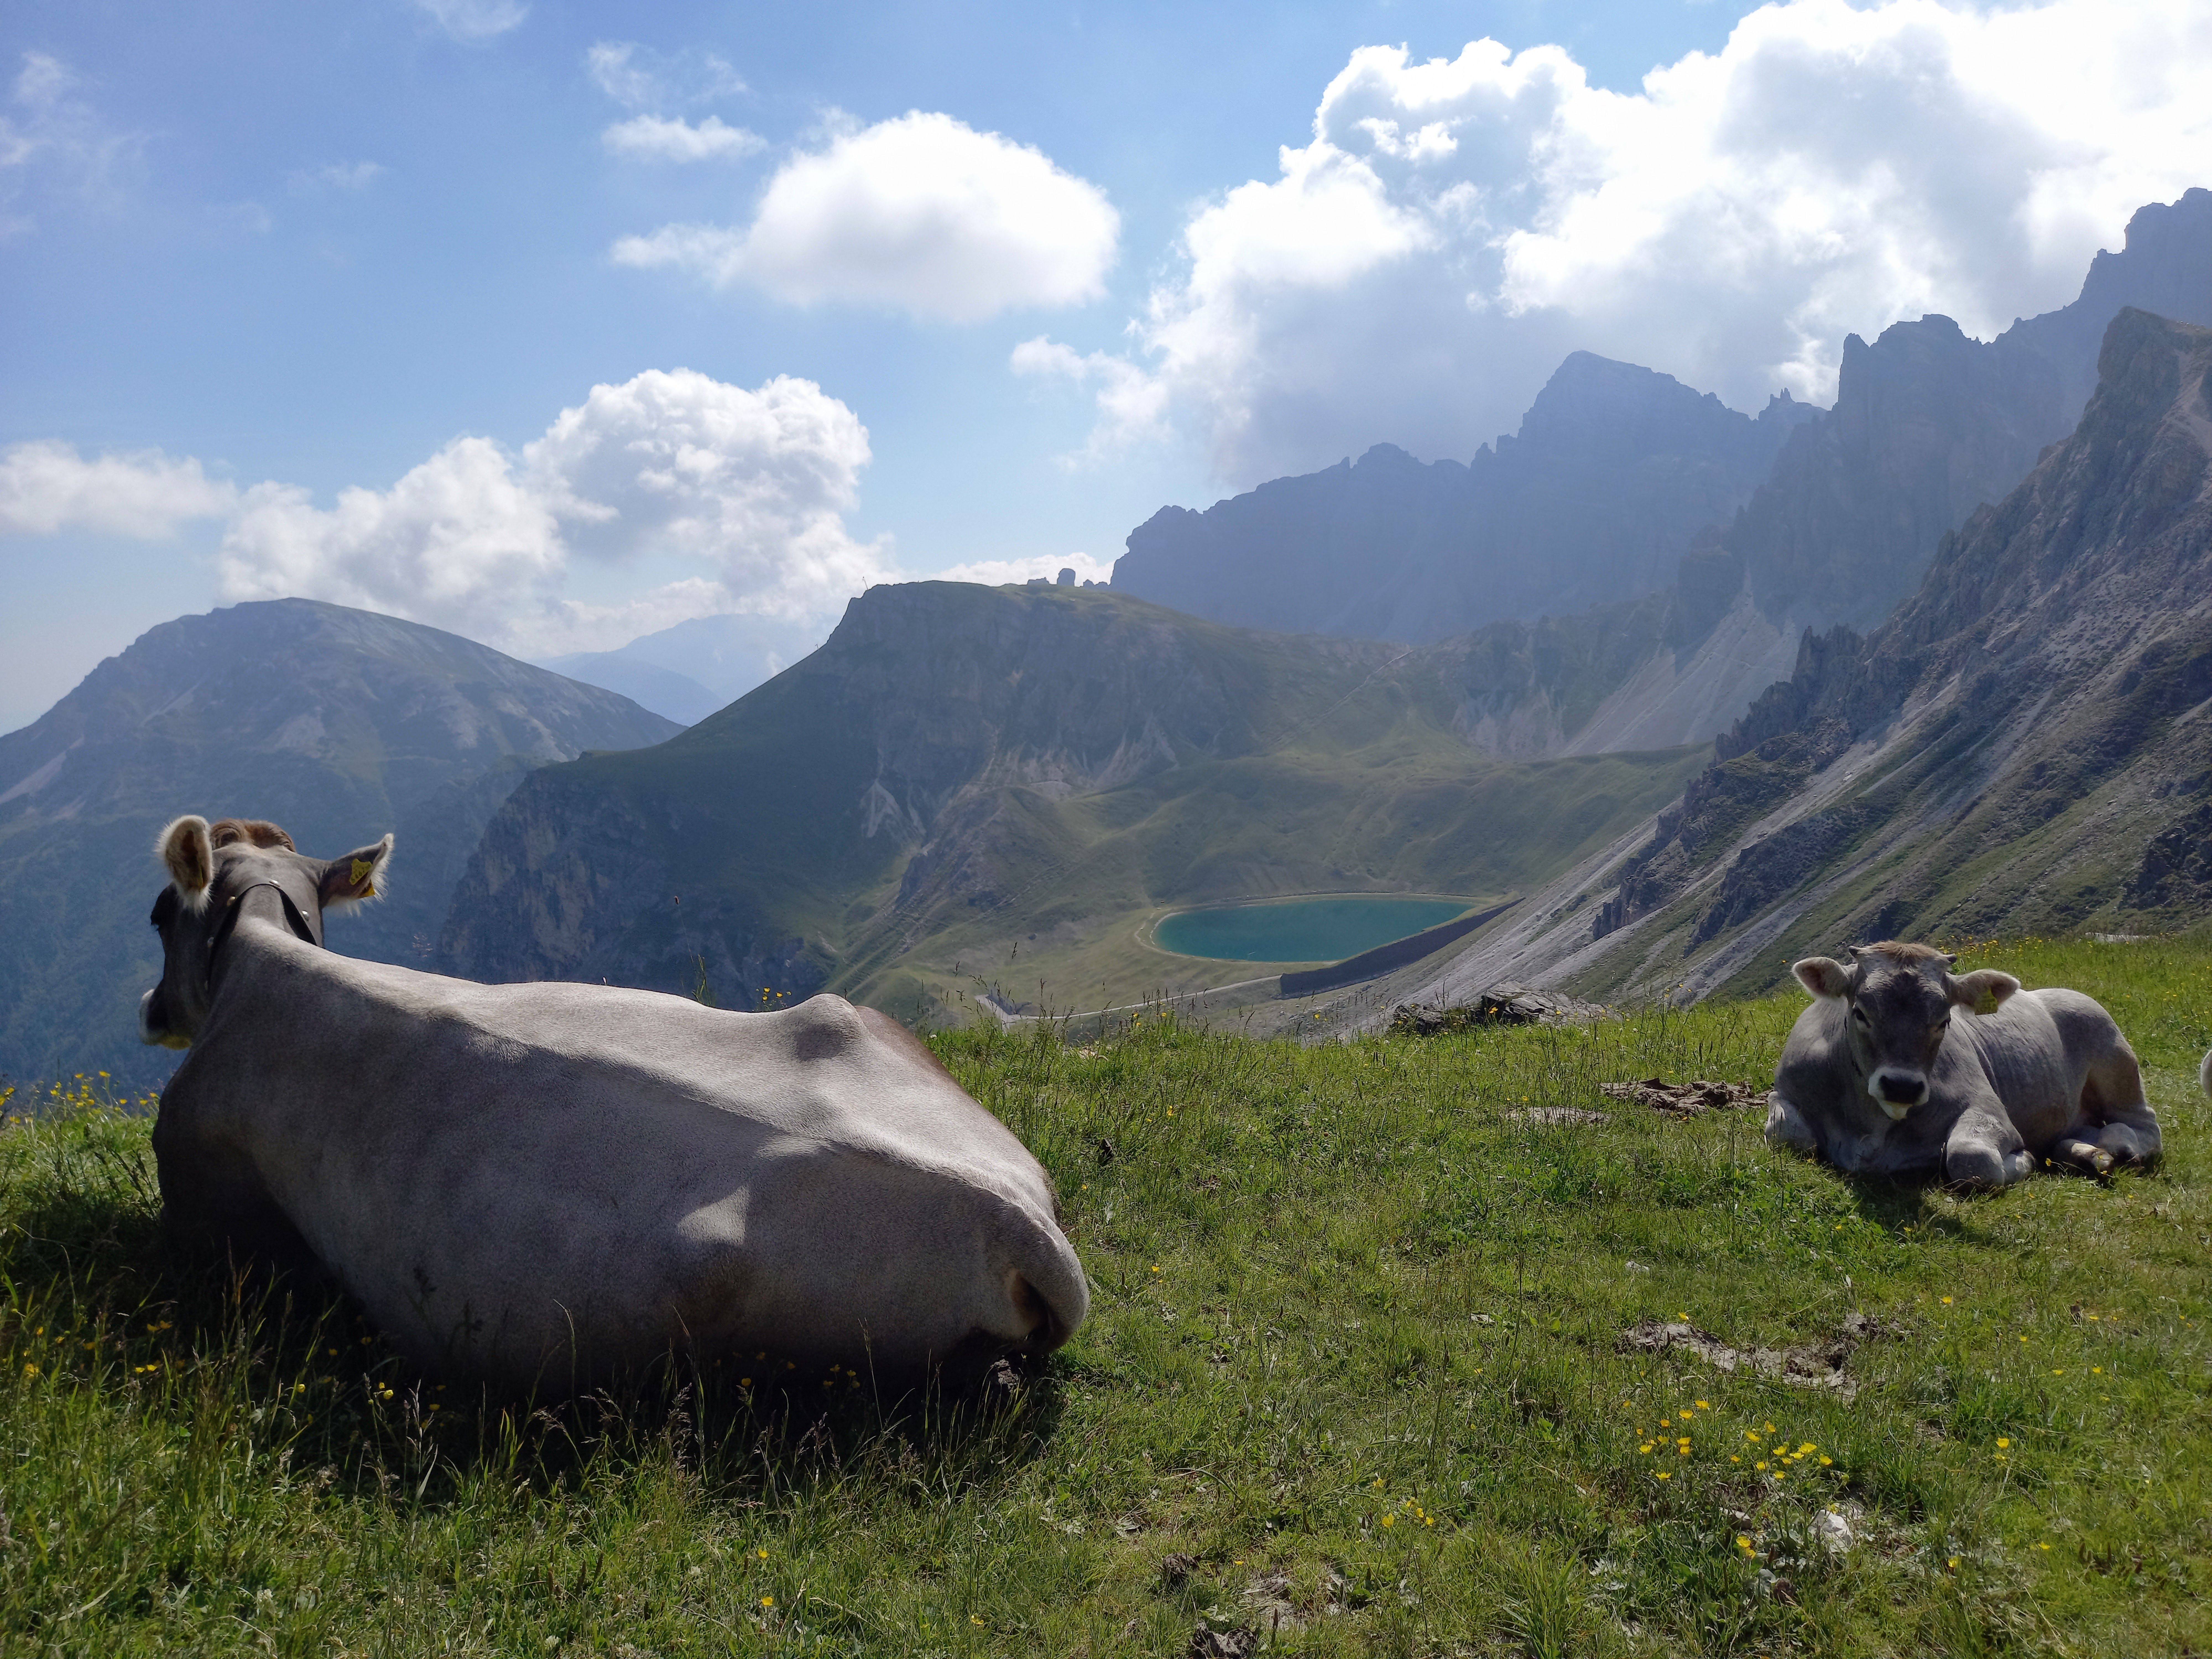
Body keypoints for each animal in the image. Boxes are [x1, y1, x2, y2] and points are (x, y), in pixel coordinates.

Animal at [1764, 941, 2164, 1187]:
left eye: (1944, 1021)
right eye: (1860, 1012)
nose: (1901, 1086)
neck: (1871, 1128)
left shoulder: (1988, 1108)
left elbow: (1971, 1159)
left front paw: (2023, 1160)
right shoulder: (1783, 1091)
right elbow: (1786, 1134)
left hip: (2114, 1057)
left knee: (2144, 1124)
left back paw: (2117, 1143)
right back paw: (2083, 1153)